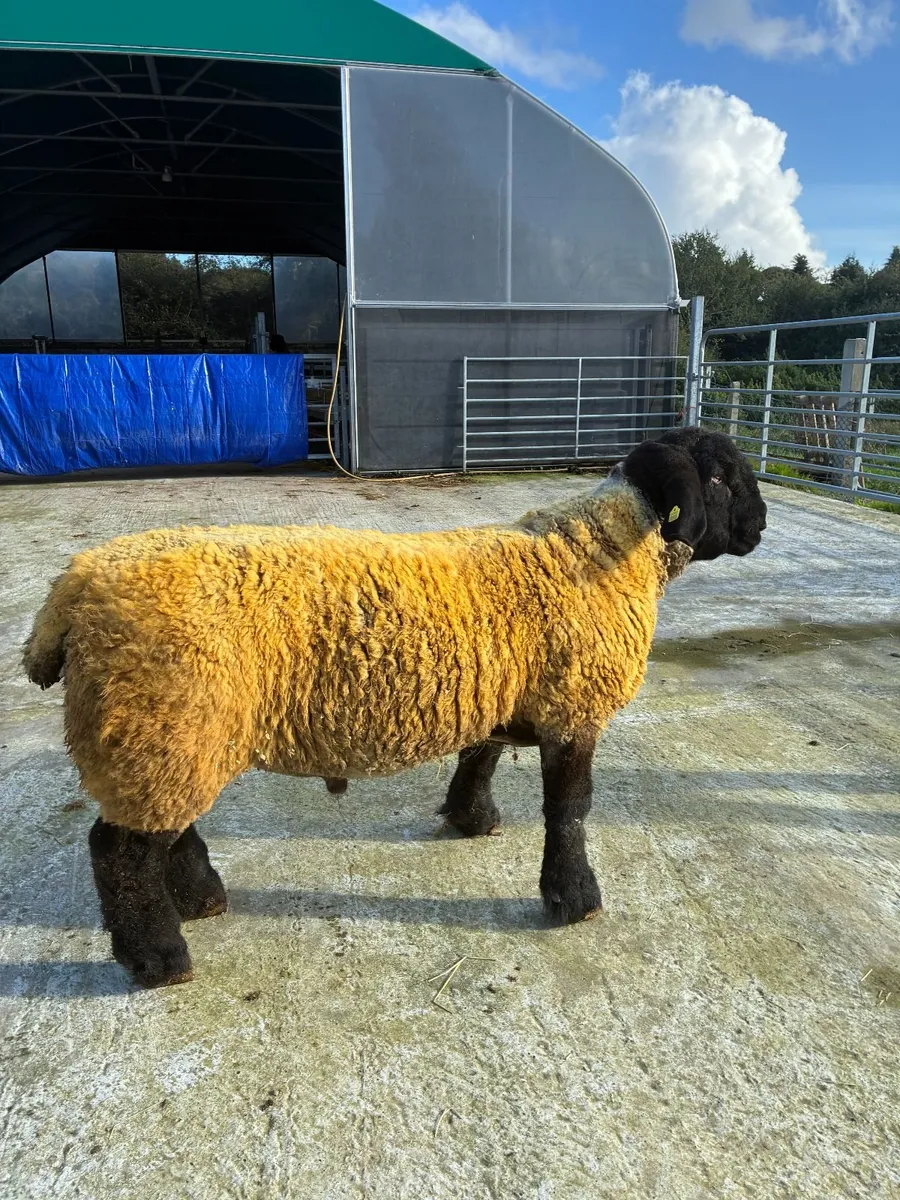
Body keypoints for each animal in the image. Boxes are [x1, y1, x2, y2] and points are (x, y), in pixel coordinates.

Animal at [23, 427, 766, 988]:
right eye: (721, 478)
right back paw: (158, 957)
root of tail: (73, 590)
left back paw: (202, 898)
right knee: (119, 851)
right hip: (159, 724)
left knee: (164, 830)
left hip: (173, 735)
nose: (761, 526)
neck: (606, 553)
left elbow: (481, 754)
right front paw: (573, 898)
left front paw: (471, 818)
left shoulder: (496, 689)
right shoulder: (572, 709)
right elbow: (570, 810)